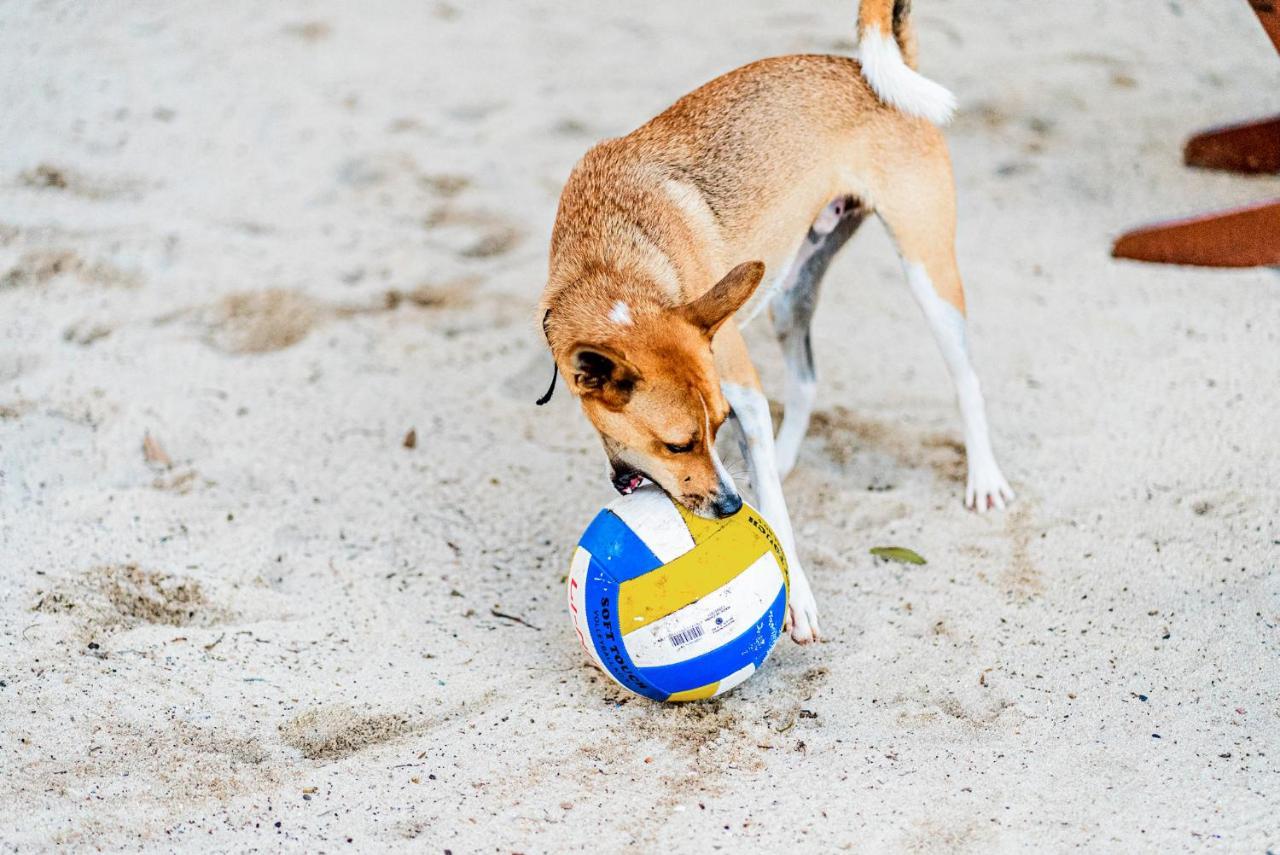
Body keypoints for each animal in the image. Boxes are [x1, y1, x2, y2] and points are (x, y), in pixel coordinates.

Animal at [537, 0, 1008, 639]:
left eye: (714, 426)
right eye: (677, 444)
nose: (731, 508)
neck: (615, 267)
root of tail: (865, 71)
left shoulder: (742, 387)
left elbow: (778, 517)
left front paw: (798, 599)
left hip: (927, 273)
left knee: (967, 381)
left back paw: (983, 477)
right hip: (789, 291)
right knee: (807, 378)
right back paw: (781, 460)